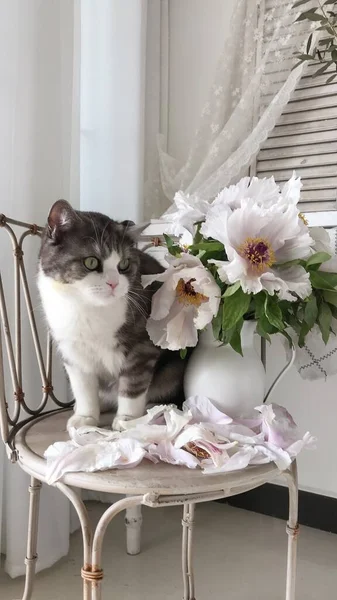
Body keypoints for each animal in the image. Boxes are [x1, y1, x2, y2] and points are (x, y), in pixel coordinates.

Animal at [38, 202, 188, 432]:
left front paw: (127, 419)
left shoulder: (142, 346)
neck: (87, 308)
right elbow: (83, 386)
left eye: (124, 264)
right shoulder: (72, 350)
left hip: (172, 370)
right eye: (91, 261)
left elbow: (134, 383)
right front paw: (85, 417)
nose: (114, 283)